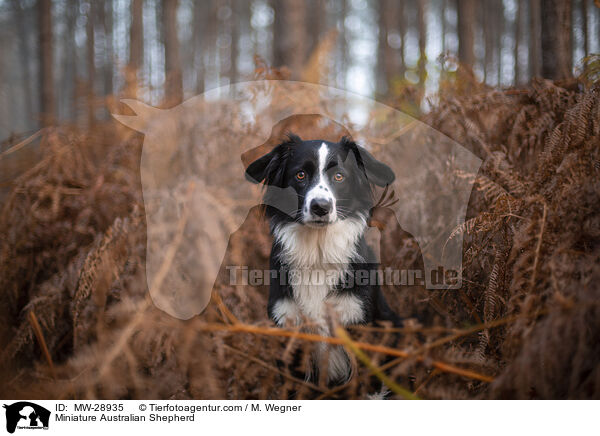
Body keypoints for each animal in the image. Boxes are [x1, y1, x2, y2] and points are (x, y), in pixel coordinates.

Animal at [244, 134, 404, 382]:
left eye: (339, 176)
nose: (321, 207)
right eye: (300, 175)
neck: (317, 252)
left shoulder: (358, 322)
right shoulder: (289, 328)